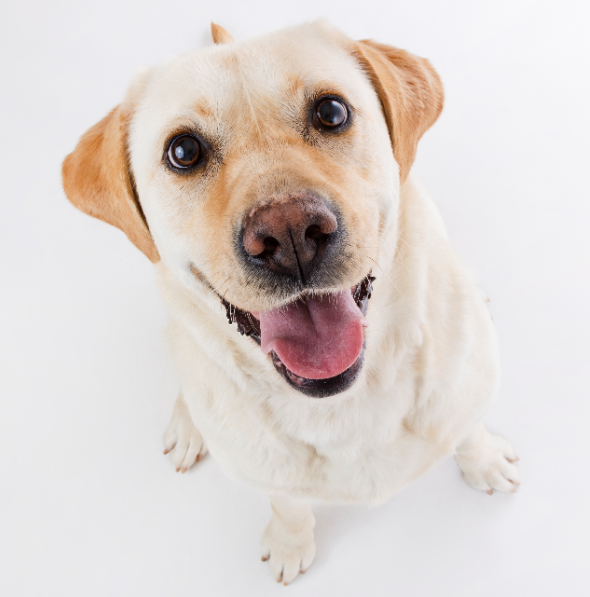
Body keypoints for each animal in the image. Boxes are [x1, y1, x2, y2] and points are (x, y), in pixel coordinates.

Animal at [62, 22, 520, 584]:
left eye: (332, 112)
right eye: (183, 151)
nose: (290, 233)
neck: (343, 404)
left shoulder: (464, 393)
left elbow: (468, 431)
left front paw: (484, 461)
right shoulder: (269, 479)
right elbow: (288, 505)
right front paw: (289, 544)